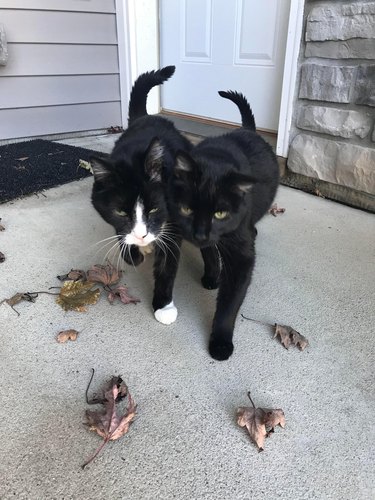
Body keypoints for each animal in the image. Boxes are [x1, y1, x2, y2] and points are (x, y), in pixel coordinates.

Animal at [90, 65, 191, 324]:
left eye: (154, 208)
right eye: (120, 212)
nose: (141, 235)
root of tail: (146, 116)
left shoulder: (175, 219)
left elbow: (167, 264)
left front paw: (164, 306)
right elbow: (120, 233)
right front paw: (133, 253)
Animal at [167, 91, 280, 360]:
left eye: (220, 213)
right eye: (187, 209)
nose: (199, 233)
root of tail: (247, 129)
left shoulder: (241, 257)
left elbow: (229, 304)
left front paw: (220, 342)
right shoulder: (207, 239)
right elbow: (209, 253)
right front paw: (212, 276)